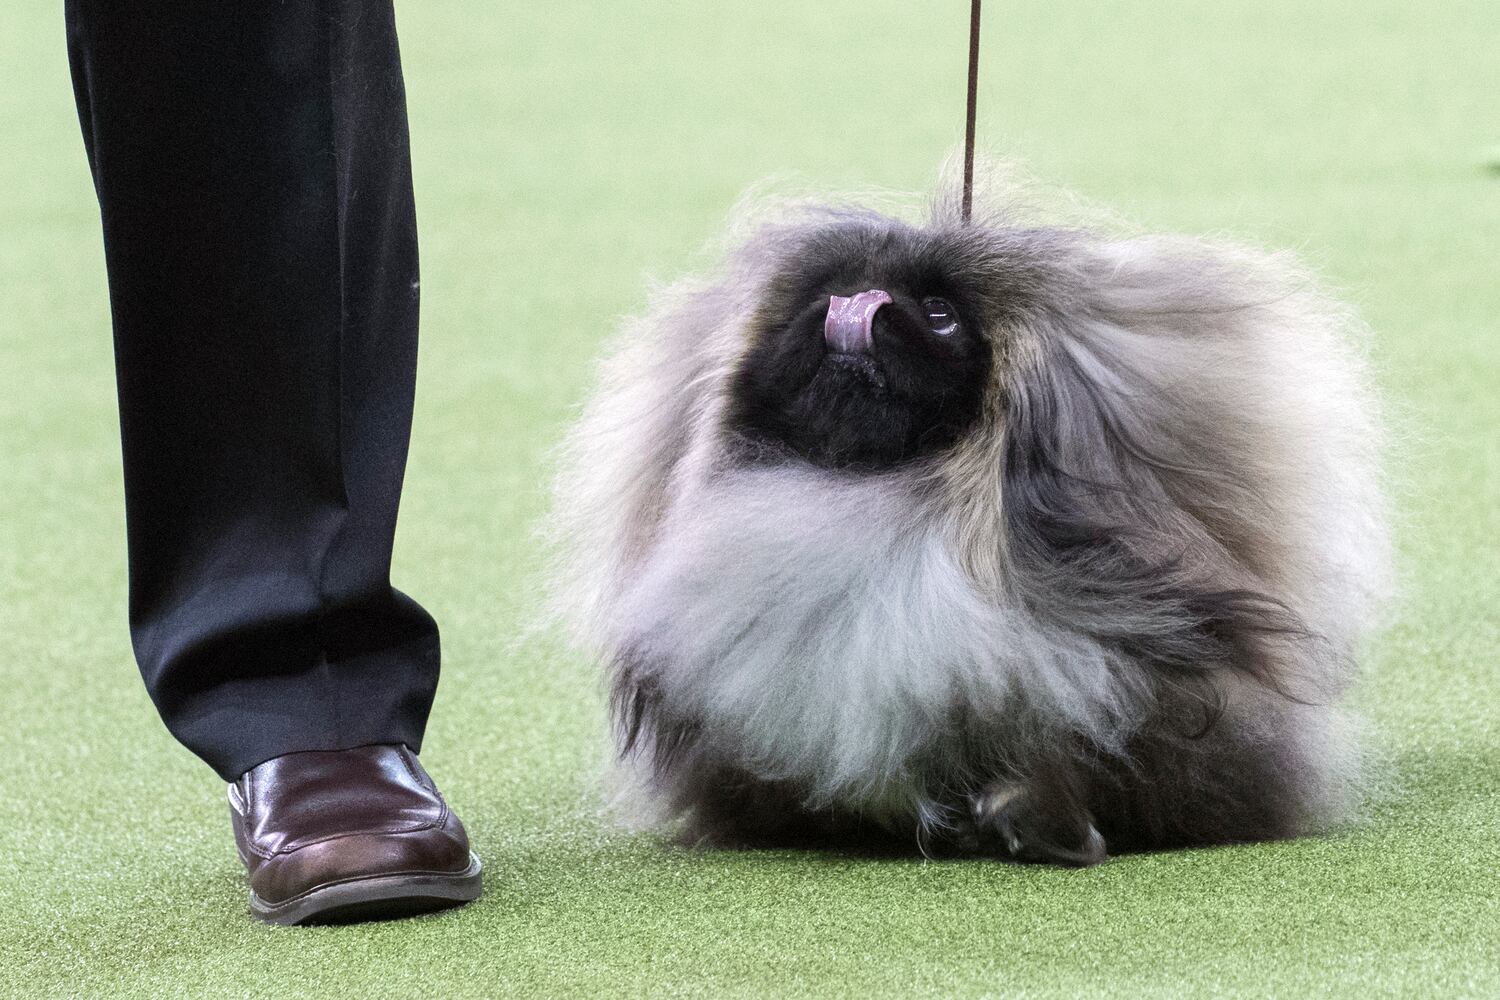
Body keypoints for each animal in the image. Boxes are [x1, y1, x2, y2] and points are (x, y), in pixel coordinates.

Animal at [552, 166, 1392, 869]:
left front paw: (1038, 822)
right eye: (816, 298)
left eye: (939, 315)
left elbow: (1056, 758)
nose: (855, 308)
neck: (884, 507)